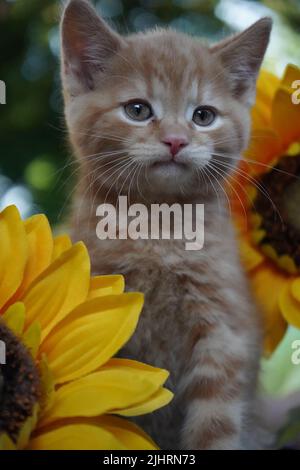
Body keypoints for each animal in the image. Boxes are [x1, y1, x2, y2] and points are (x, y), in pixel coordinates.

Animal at [60, 0, 272, 448]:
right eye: (138, 110)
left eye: (203, 116)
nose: (176, 140)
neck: (159, 228)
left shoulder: (222, 330)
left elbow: (214, 426)